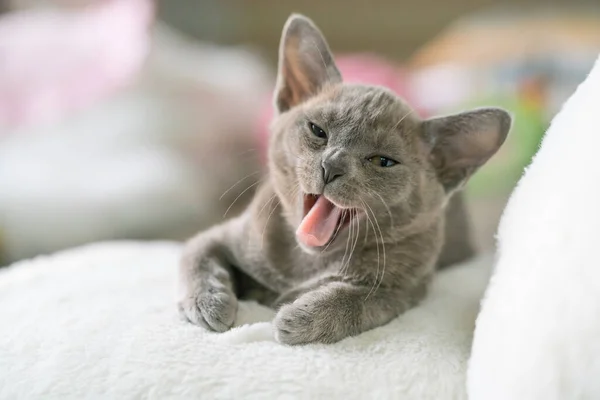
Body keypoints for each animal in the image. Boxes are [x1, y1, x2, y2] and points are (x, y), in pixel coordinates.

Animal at [179, 14, 510, 346]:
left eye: (382, 161)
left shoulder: (403, 291)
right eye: (318, 131)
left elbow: (355, 300)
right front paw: (208, 303)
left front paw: (297, 317)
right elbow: (197, 257)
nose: (331, 166)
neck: (305, 261)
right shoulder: (221, 235)